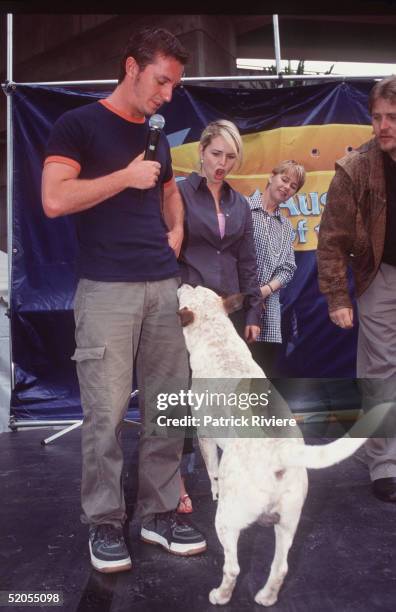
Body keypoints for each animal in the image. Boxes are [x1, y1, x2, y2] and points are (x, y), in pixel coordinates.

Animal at [178, 286, 388, 608]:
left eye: (190, 291)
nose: (183, 283)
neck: (217, 338)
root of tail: (280, 451)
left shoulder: (205, 437)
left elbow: (211, 470)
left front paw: (212, 489)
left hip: (227, 521)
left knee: (233, 567)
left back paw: (221, 596)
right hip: (289, 522)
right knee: (281, 567)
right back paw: (266, 597)